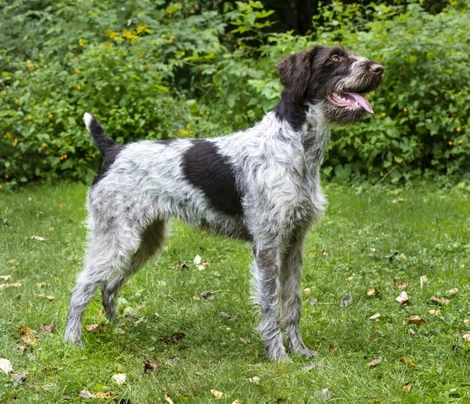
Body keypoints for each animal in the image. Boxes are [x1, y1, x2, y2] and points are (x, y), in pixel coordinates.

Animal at [65, 45, 382, 362]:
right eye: (335, 58)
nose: (379, 69)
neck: (294, 147)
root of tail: (113, 150)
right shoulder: (267, 246)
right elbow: (270, 307)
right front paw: (278, 357)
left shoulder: (294, 243)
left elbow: (292, 304)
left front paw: (299, 350)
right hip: (117, 240)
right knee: (80, 288)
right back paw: (72, 342)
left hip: (145, 242)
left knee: (108, 286)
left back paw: (118, 328)